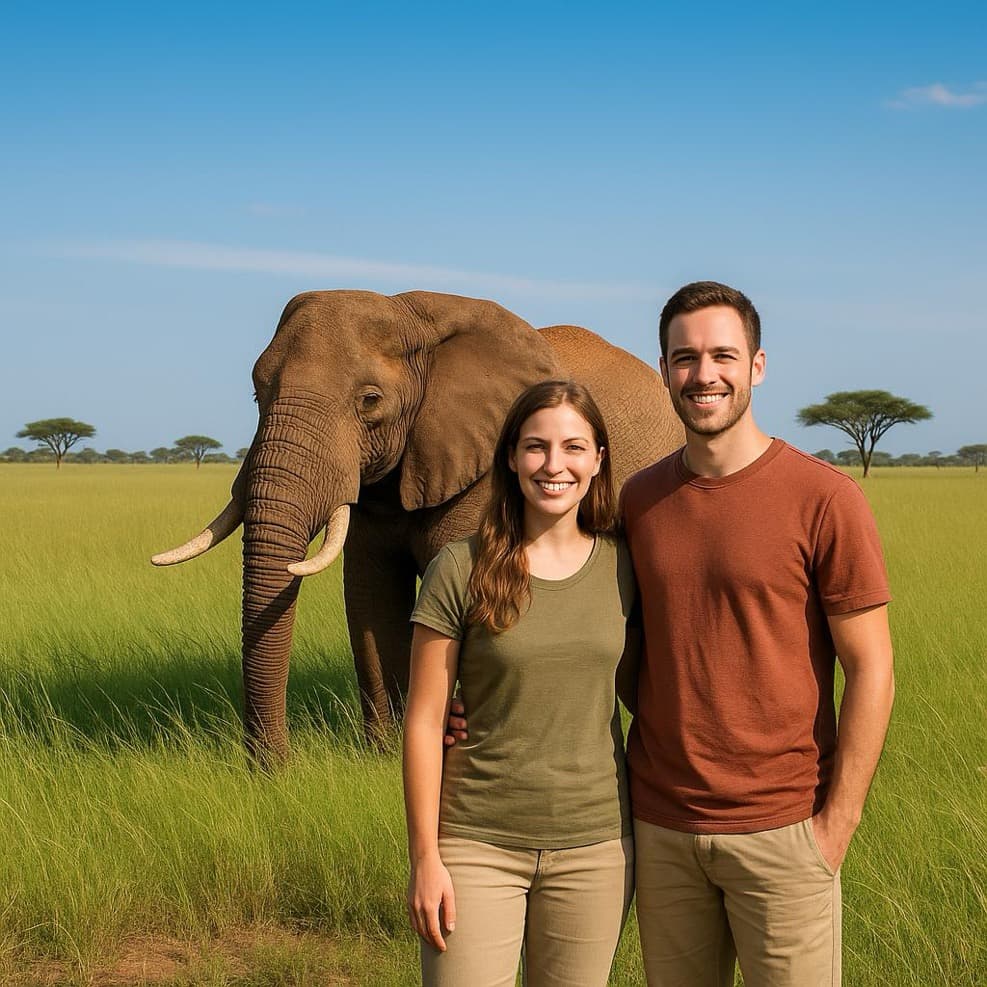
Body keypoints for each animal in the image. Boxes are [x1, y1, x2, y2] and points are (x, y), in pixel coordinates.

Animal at [152, 290, 683, 765]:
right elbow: (370, 597)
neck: (408, 316)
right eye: (257, 393)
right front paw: (387, 756)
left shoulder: (484, 471)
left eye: (370, 401)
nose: (273, 771)